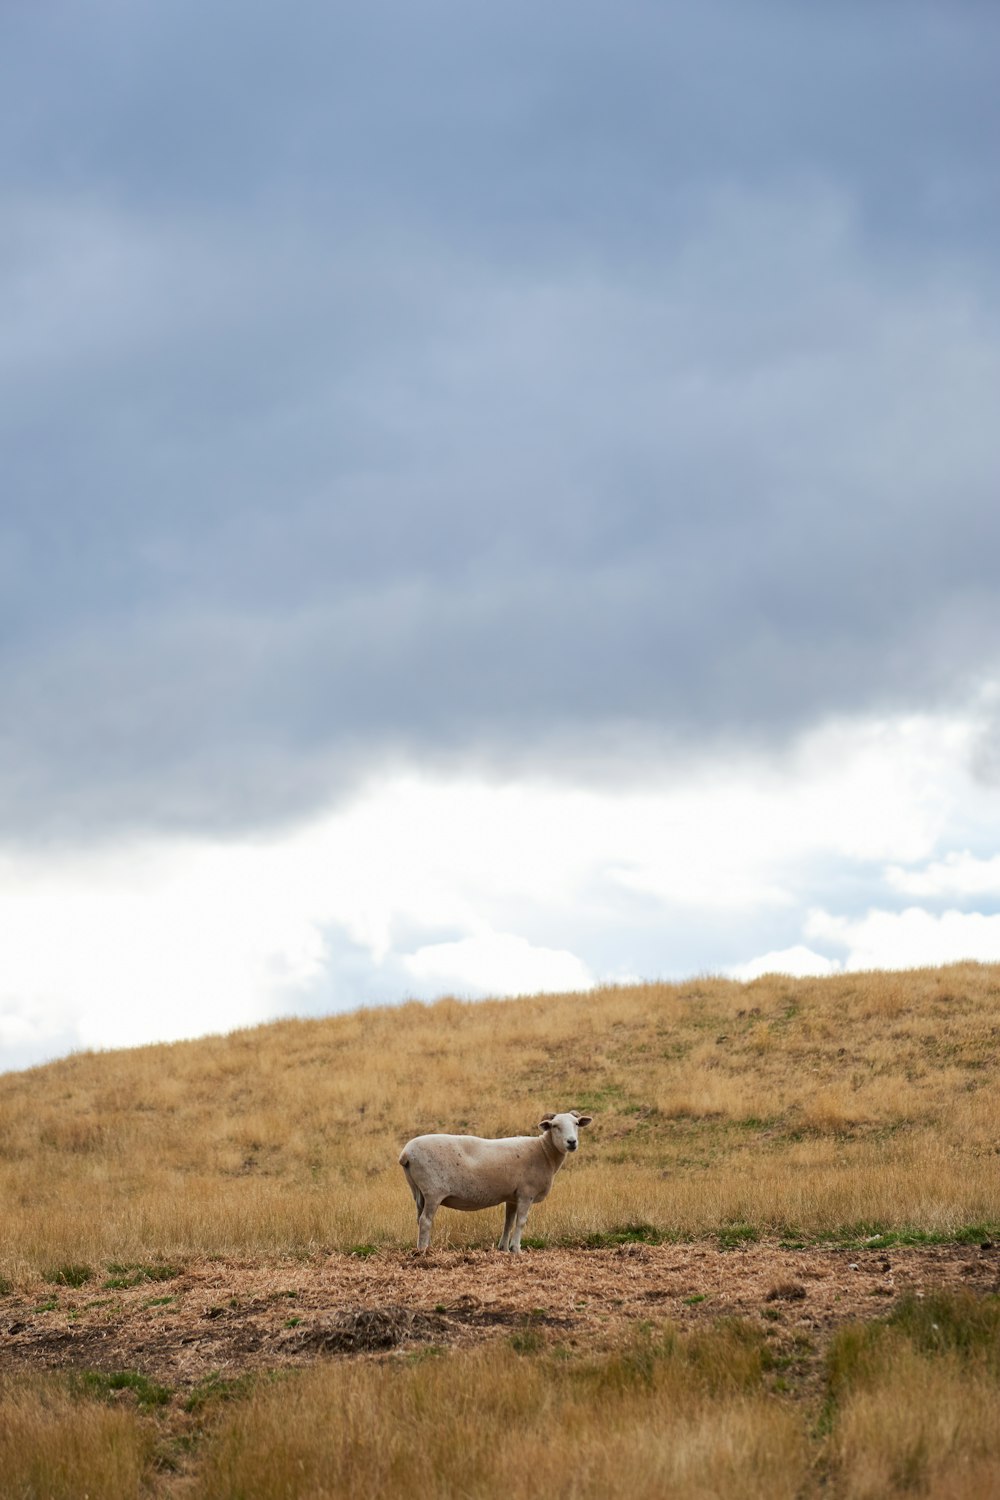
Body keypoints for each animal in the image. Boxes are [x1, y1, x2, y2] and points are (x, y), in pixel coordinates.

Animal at [395, 1110, 590, 1248]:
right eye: (555, 1126)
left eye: (576, 1124)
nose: (571, 1142)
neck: (543, 1151)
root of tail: (405, 1154)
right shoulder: (526, 1194)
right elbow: (521, 1222)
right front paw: (516, 1249)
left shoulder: (512, 1197)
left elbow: (508, 1223)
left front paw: (503, 1248)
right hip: (433, 1191)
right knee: (426, 1221)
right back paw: (424, 1251)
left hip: (418, 1193)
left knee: (419, 1219)